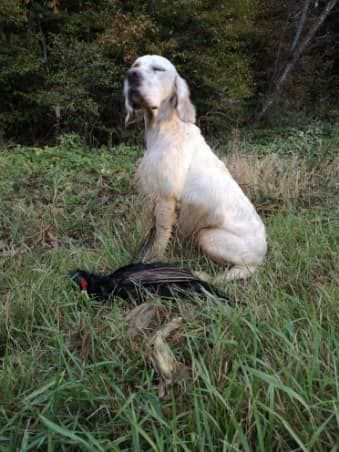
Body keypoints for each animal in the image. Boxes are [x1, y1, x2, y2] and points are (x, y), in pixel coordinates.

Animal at [123, 54, 266, 280]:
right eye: (135, 65)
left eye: (158, 69)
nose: (131, 76)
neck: (165, 130)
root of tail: (263, 254)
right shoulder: (151, 195)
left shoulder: (166, 199)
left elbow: (159, 240)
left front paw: (151, 265)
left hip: (207, 235)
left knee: (235, 272)